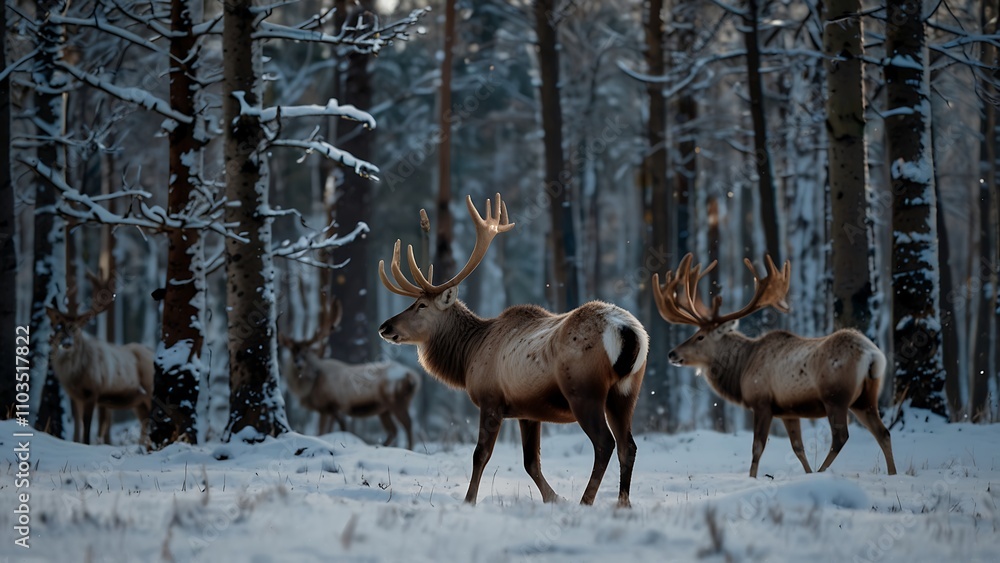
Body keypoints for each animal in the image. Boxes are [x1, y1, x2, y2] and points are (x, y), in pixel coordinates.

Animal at [46, 280, 154, 445]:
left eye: (76, 328)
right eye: (58, 327)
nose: (67, 342)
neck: (74, 376)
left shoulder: (93, 391)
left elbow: (87, 425)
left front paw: (86, 444)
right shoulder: (75, 396)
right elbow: (79, 423)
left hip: (149, 391)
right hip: (139, 402)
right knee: (145, 423)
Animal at [278, 300, 420, 449]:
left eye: (306, 351)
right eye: (292, 351)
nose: (298, 363)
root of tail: (413, 377)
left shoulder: (331, 405)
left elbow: (326, 430)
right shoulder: (330, 409)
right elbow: (332, 429)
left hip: (397, 400)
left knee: (408, 425)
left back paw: (409, 448)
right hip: (384, 408)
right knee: (393, 430)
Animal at [377, 194, 649, 508]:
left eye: (421, 305)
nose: (384, 326)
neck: (468, 354)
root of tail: (626, 330)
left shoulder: (491, 399)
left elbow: (480, 454)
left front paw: (469, 500)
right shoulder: (527, 411)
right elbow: (531, 462)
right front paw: (554, 498)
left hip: (585, 391)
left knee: (605, 443)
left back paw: (586, 501)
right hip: (626, 391)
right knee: (628, 446)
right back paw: (623, 504)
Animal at [652, 254, 897, 478]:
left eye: (700, 337)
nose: (672, 354)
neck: (743, 368)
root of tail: (872, 355)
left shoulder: (761, 402)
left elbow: (757, 448)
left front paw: (753, 478)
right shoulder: (788, 411)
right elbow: (798, 449)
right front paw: (807, 474)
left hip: (836, 396)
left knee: (841, 437)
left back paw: (823, 471)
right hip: (865, 398)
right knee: (883, 432)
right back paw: (892, 473)